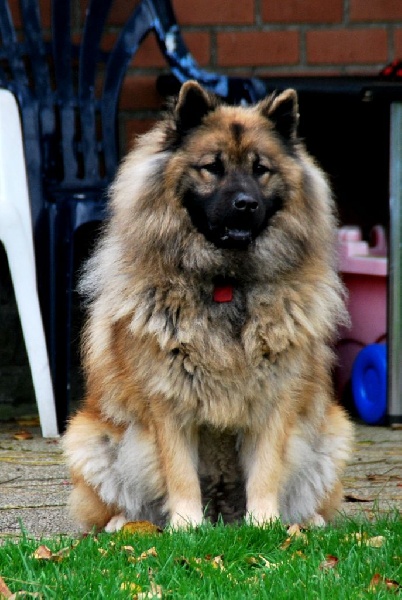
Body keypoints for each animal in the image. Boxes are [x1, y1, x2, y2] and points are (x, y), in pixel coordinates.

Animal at [62, 78, 352, 528]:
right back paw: (125, 525)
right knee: (111, 505)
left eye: (260, 169)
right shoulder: (166, 401)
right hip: (89, 438)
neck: (224, 282)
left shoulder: (275, 400)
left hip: (333, 435)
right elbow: (179, 471)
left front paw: (265, 526)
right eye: (212, 167)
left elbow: (266, 470)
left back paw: (305, 524)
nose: (246, 204)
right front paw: (186, 528)